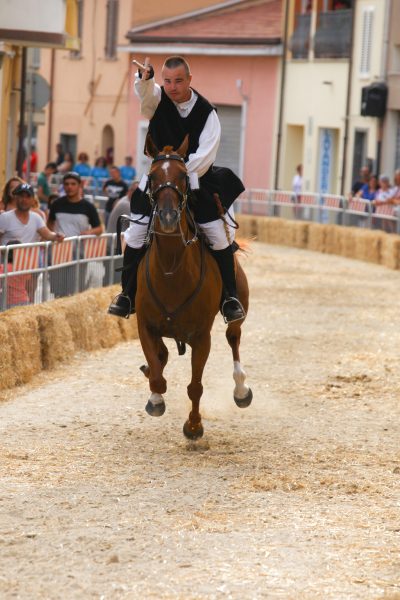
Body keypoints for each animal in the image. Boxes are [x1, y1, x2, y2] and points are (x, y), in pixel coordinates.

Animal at [136, 134, 252, 438]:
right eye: (152, 176)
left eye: (183, 176)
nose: (166, 217)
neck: (171, 267)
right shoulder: (145, 327)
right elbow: (157, 374)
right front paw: (155, 398)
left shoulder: (201, 338)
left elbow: (195, 386)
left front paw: (194, 426)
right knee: (162, 357)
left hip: (238, 313)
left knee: (234, 339)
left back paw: (241, 389)